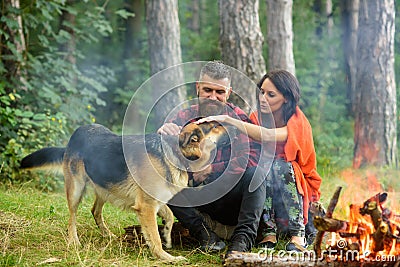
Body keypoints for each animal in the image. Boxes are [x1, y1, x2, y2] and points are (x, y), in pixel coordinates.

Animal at [21, 122, 231, 262]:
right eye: (214, 126)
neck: (173, 153)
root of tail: (77, 133)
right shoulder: (146, 207)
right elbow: (154, 237)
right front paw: (165, 257)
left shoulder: (156, 202)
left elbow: (169, 217)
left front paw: (167, 235)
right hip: (76, 189)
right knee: (72, 216)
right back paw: (74, 241)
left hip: (105, 187)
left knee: (95, 211)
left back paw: (108, 235)